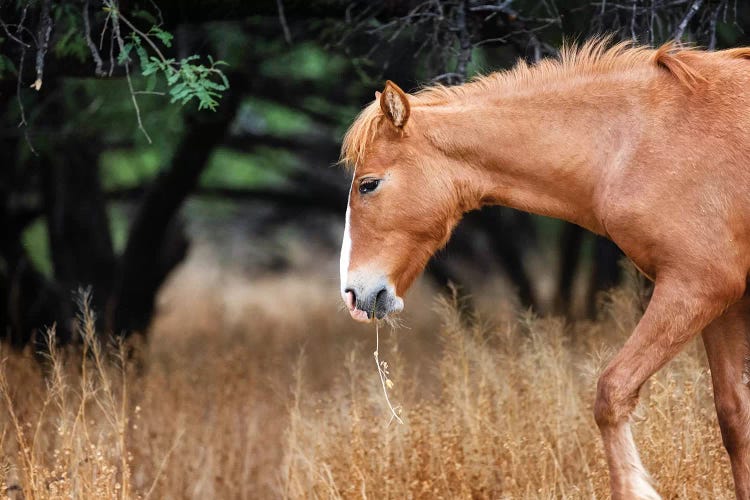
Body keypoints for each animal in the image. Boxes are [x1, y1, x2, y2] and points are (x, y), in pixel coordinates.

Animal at [340, 41, 750, 498]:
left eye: (369, 185)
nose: (353, 293)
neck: (637, 140)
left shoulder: (694, 288)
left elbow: (612, 393)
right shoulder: (725, 304)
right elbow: (734, 418)